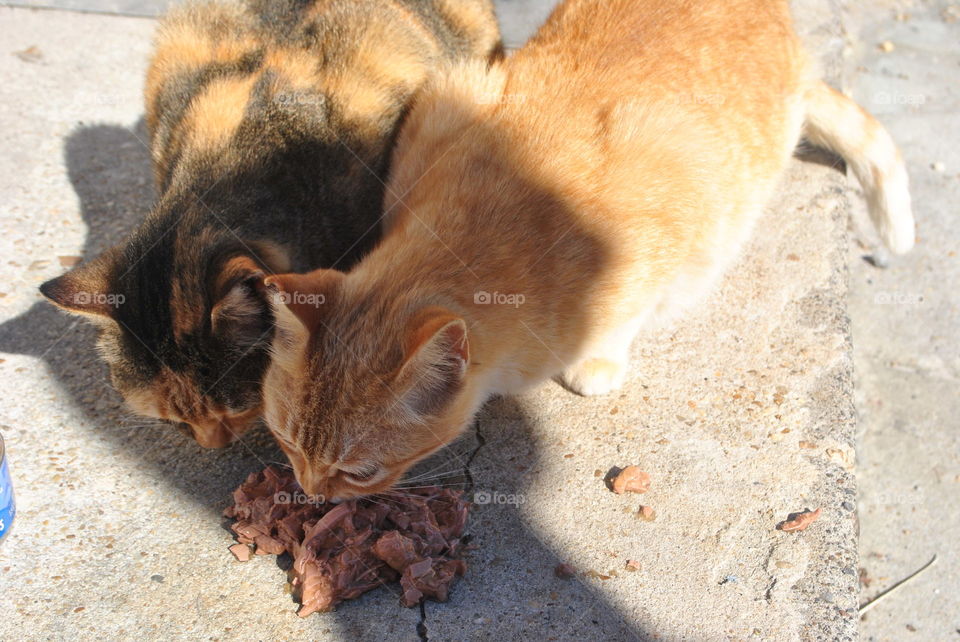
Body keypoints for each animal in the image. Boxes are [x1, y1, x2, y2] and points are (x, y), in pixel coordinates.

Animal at [260, 0, 916, 500]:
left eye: (358, 471)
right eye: (287, 443)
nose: (311, 495)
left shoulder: (666, 227)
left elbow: (625, 316)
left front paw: (596, 362)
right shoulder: (447, 97)